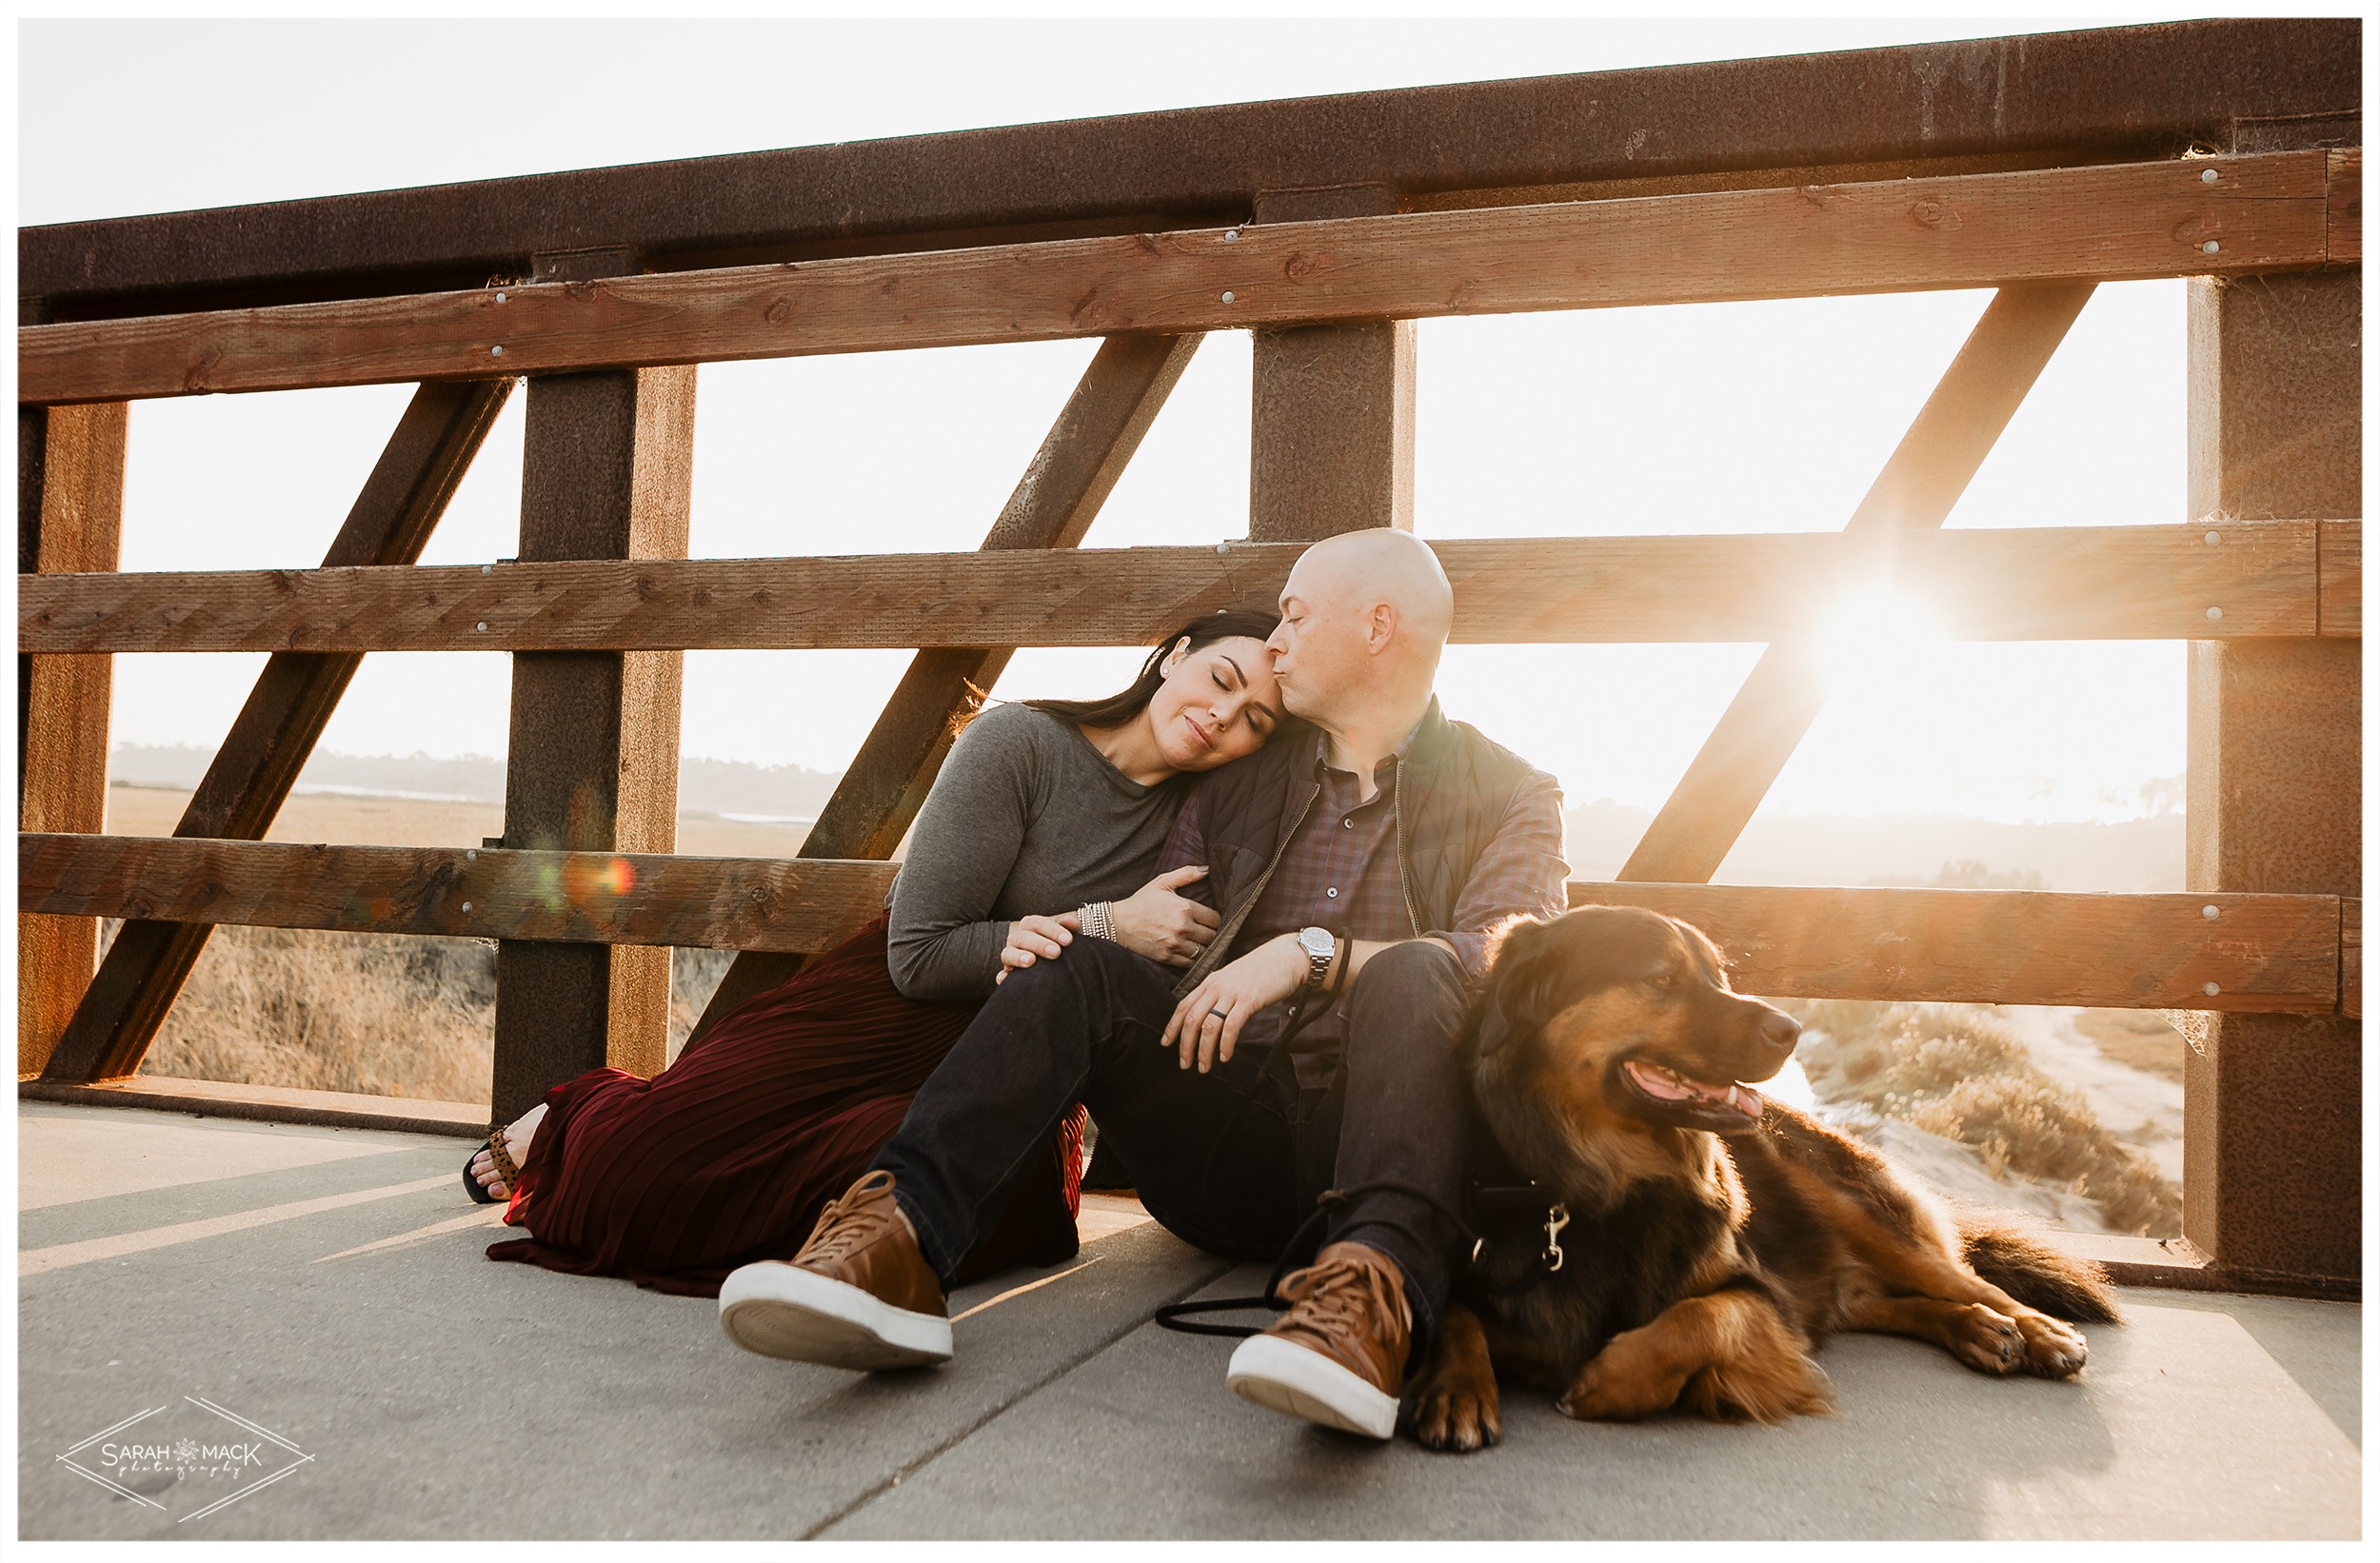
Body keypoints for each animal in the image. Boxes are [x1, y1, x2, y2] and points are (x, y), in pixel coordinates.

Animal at [1399, 903, 2113, 1446]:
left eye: (1717, 974)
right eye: (1663, 978)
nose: (1791, 1028)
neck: (1601, 1187)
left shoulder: (1763, 1301)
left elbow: (1697, 1319)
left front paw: (1613, 1380)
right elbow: (1456, 1311)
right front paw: (1457, 1388)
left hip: (1856, 1209)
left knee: (1966, 1281)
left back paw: (2035, 1330)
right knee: (1884, 1302)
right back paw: (1976, 1330)